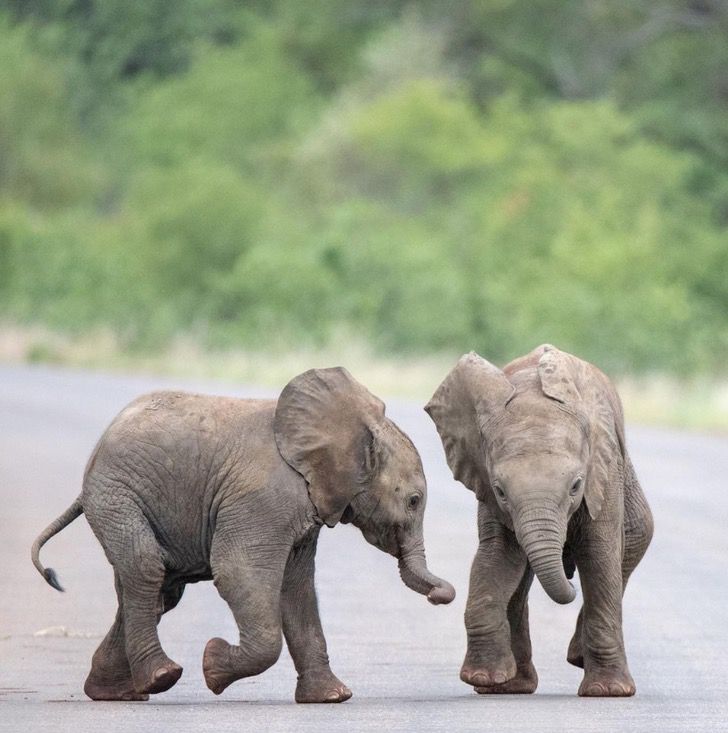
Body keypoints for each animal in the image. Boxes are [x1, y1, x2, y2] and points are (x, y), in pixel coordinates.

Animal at [34, 368, 456, 700]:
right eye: (414, 501)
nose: (440, 596)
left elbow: (296, 588)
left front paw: (333, 697)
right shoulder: (263, 498)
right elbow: (239, 571)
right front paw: (212, 666)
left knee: (157, 591)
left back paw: (113, 692)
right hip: (117, 497)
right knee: (146, 569)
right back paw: (161, 678)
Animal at [424, 346, 652, 696]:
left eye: (576, 485)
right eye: (500, 490)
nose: (569, 582)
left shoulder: (604, 470)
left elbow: (599, 555)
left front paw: (608, 691)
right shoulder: (486, 484)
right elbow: (498, 557)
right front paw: (482, 678)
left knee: (636, 538)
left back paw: (575, 659)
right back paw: (511, 687)